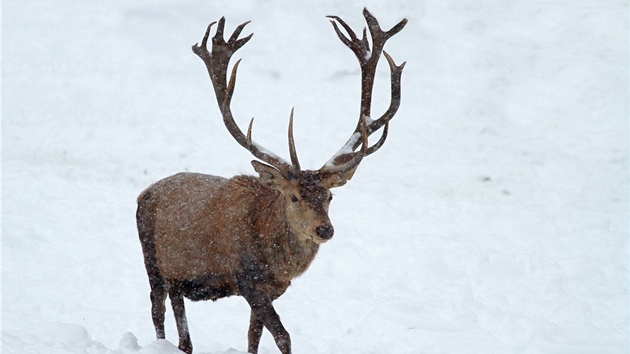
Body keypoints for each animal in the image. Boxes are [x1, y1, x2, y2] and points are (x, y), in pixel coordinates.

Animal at [136, 8, 408, 354]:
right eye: (294, 197)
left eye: (329, 197)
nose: (325, 229)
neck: (275, 259)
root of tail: (144, 193)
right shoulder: (248, 281)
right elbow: (282, 335)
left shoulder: (272, 289)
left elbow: (253, 335)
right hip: (151, 258)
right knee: (156, 306)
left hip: (177, 276)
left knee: (178, 315)